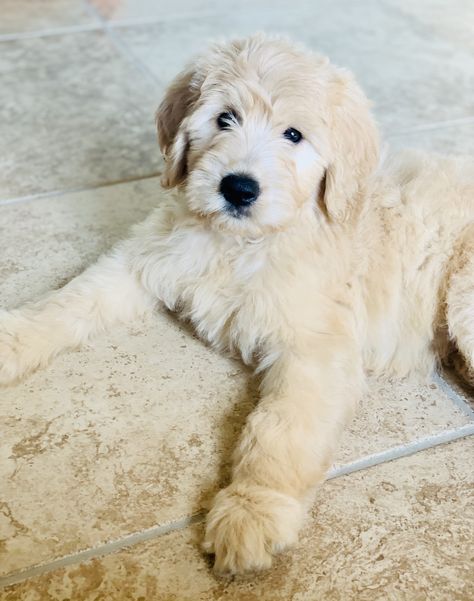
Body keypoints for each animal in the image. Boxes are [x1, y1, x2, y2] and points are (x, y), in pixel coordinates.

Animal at [0, 34, 474, 572]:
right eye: (225, 118)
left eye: (294, 134)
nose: (238, 187)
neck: (241, 241)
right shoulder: (143, 261)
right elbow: (72, 300)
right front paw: (12, 338)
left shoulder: (316, 347)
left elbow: (281, 430)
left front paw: (254, 510)